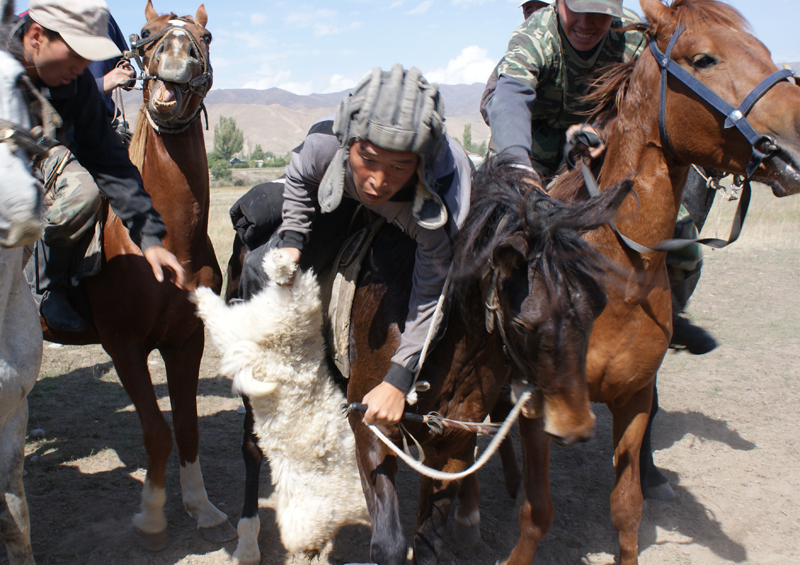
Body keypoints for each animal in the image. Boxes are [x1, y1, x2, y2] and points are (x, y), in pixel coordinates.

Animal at [39, 0, 234, 548]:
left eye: (205, 36)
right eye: (145, 34)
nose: (175, 58)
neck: (162, 240)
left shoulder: (187, 340)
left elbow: (187, 427)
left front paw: (201, 506)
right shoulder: (123, 345)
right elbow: (156, 430)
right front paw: (152, 513)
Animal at [346, 158, 636, 564]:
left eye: (598, 304)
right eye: (523, 324)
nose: (576, 426)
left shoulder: (450, 441)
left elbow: (428, 541)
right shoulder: (369, 425)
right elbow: (389, 545)